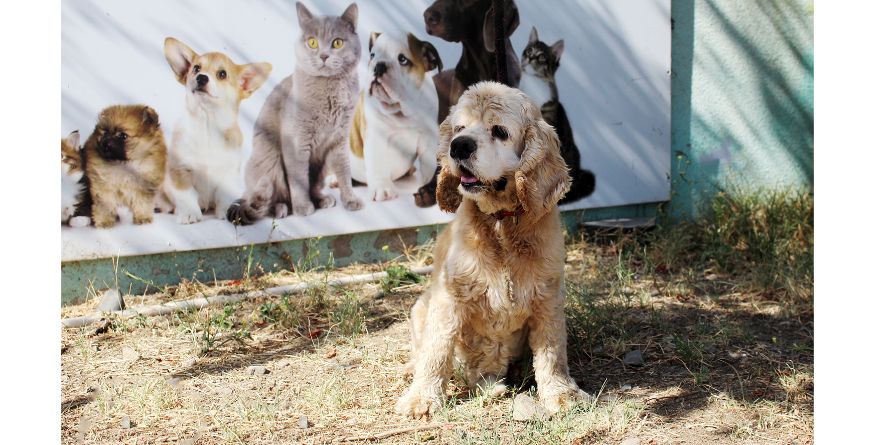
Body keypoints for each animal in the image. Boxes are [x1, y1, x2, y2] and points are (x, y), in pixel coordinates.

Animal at [160, 36, 270, 224]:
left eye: (222, 74)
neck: (207, 125)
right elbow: (187, 196)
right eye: (196, 68)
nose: (201, 78)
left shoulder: (228, 173)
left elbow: (223, 197)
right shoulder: (181, 170)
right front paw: (189, 213)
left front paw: (225, 212)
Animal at [232, 1, 368, 224]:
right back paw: (281, 208)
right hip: (270, 161)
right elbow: (298, 179)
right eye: (312, 42)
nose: (323, 55)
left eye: (338, 43)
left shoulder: (339, 139)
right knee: (268, 199)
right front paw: (303, 208)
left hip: (321, 165)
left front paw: (350, 200)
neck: (330, 93)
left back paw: (321, 200)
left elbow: (344, 171)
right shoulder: (297, 142)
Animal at [400, 80, 592, 416]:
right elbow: (436, 351)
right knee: (425, 350)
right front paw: (421, 398)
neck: (502, 225)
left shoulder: (548, 295)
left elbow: (553, 351)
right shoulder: (450, 296)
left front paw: (562, 393)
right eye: (459, 128)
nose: (458, 146)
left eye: (499, 131)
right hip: (420, 307)